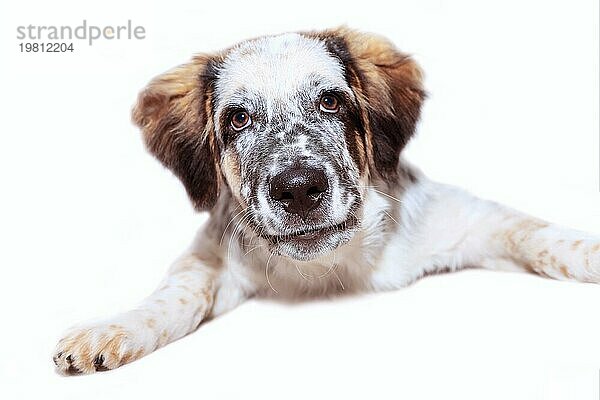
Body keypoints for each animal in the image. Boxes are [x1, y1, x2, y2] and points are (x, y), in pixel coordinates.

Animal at [52, 28, 600, 376]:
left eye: (331, 101)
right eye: (237, 119)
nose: (298, 189)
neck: (330, 267)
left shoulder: (467, 221)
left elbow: (534, 233)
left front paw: (589, 253)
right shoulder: (213, 252)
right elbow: (178, 292)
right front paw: (114, 328)